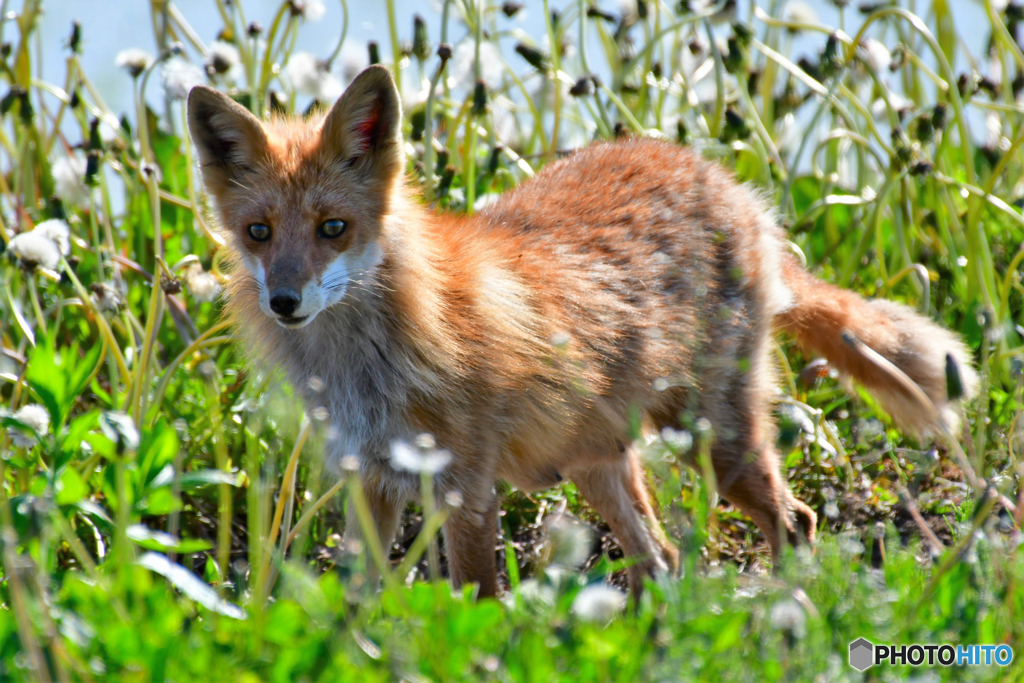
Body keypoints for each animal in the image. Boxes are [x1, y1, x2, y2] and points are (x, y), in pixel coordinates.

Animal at [188, 65, 978, 598]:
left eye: (333, 228)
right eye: (258, 233)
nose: (286, 301)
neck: (369, 365)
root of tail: (734, 188)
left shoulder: (466, 490)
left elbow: (474, 604)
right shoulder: (370, 482)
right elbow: (357, 604)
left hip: (716, 441)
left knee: (798, 522)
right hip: (598, 464)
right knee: (662, 559)